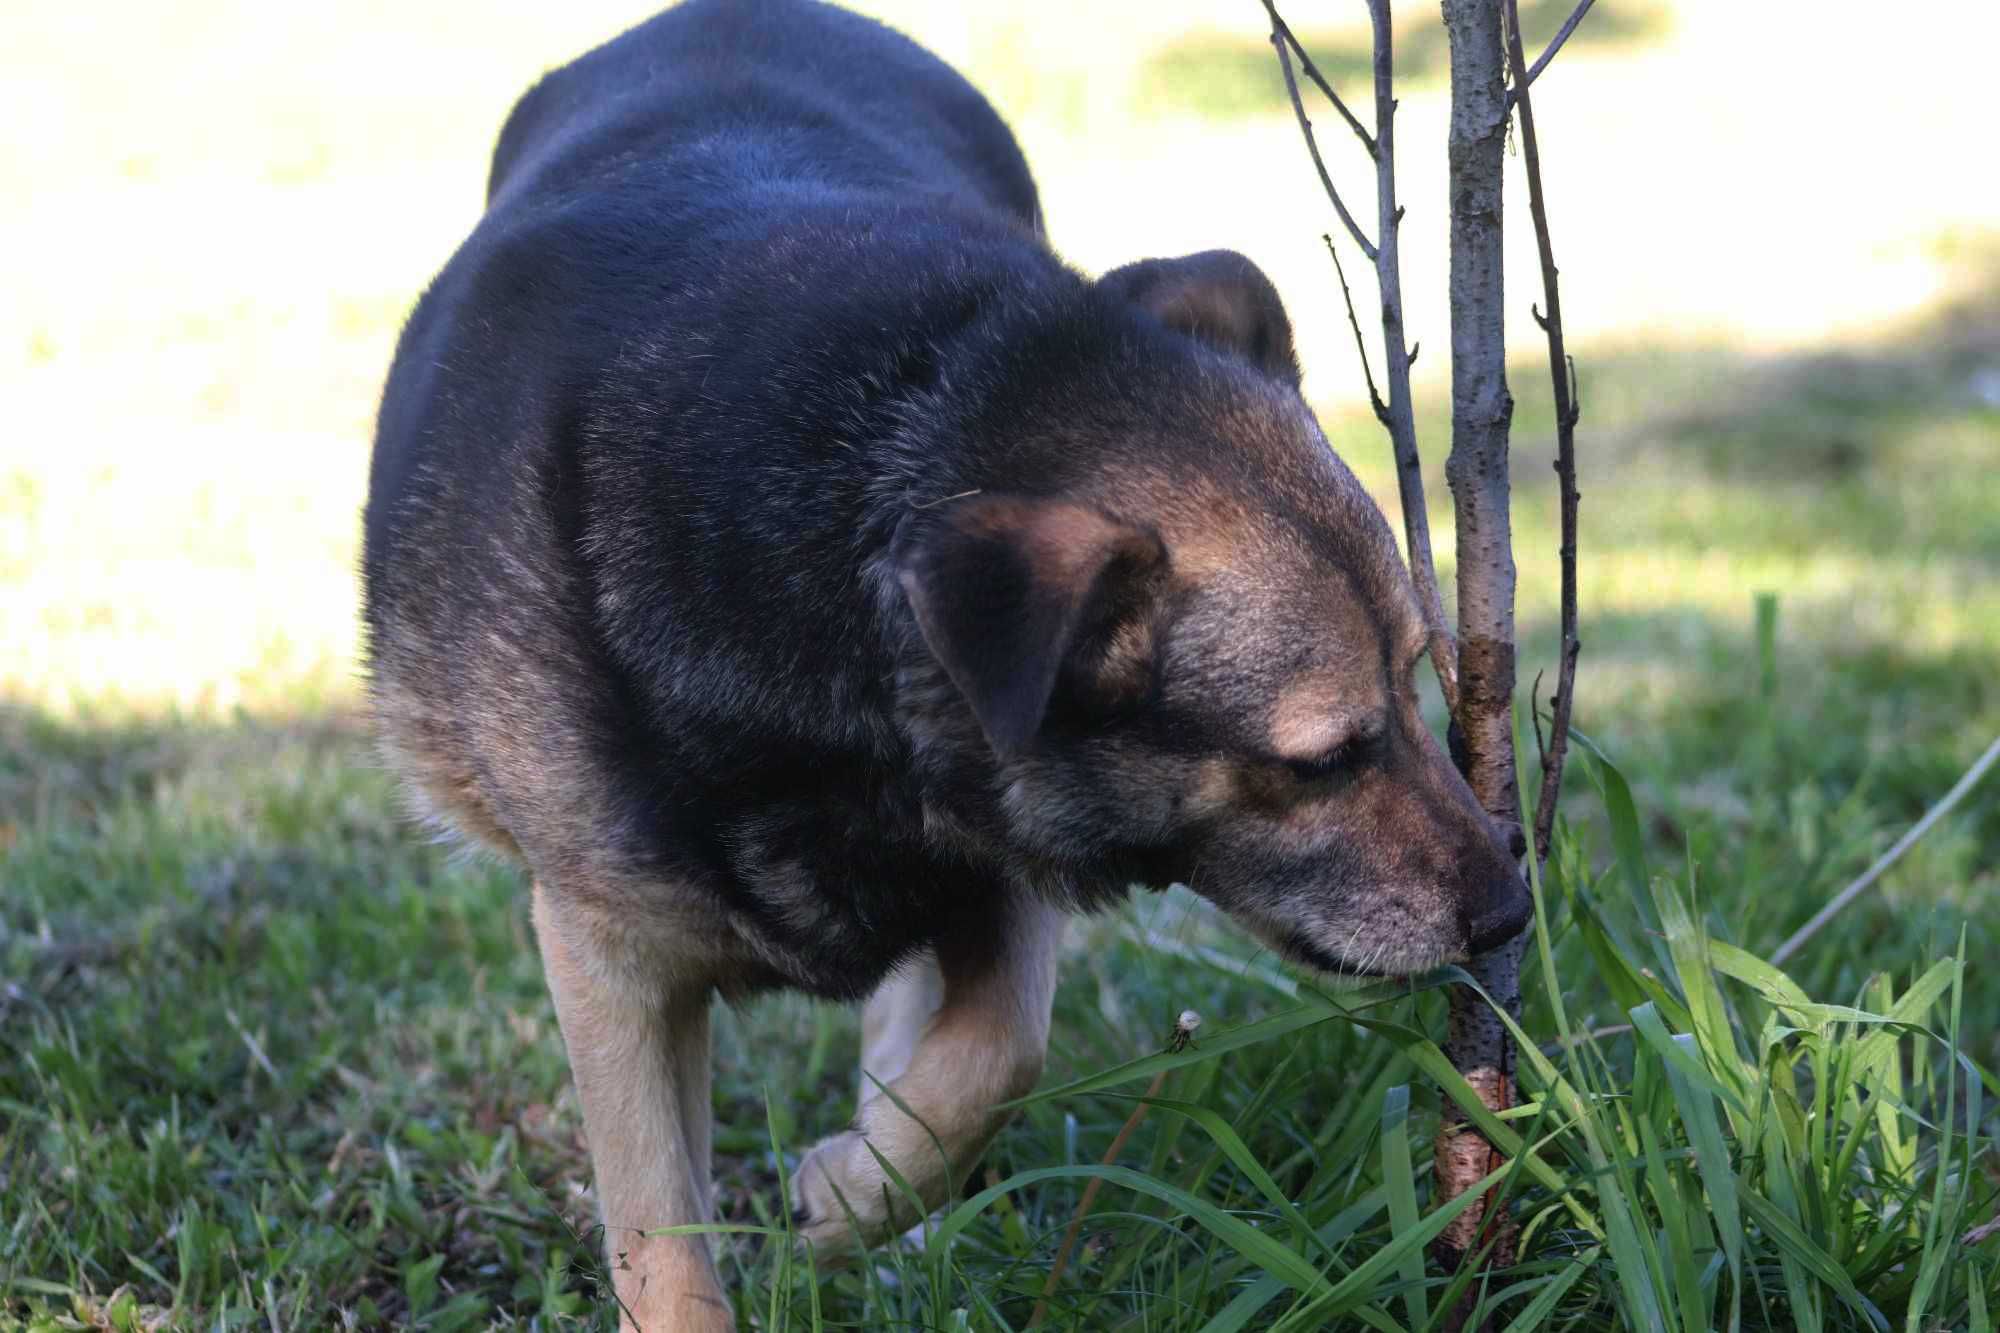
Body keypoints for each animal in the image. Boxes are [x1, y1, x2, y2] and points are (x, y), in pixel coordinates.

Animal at [364, 0, 1528, 1320]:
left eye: (1423, 688)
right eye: (1323, 759)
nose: (1509, 912)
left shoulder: (1001, 853)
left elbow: (994, 1053)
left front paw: (853, 1193)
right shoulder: (610, 953)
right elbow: (660, 1233)